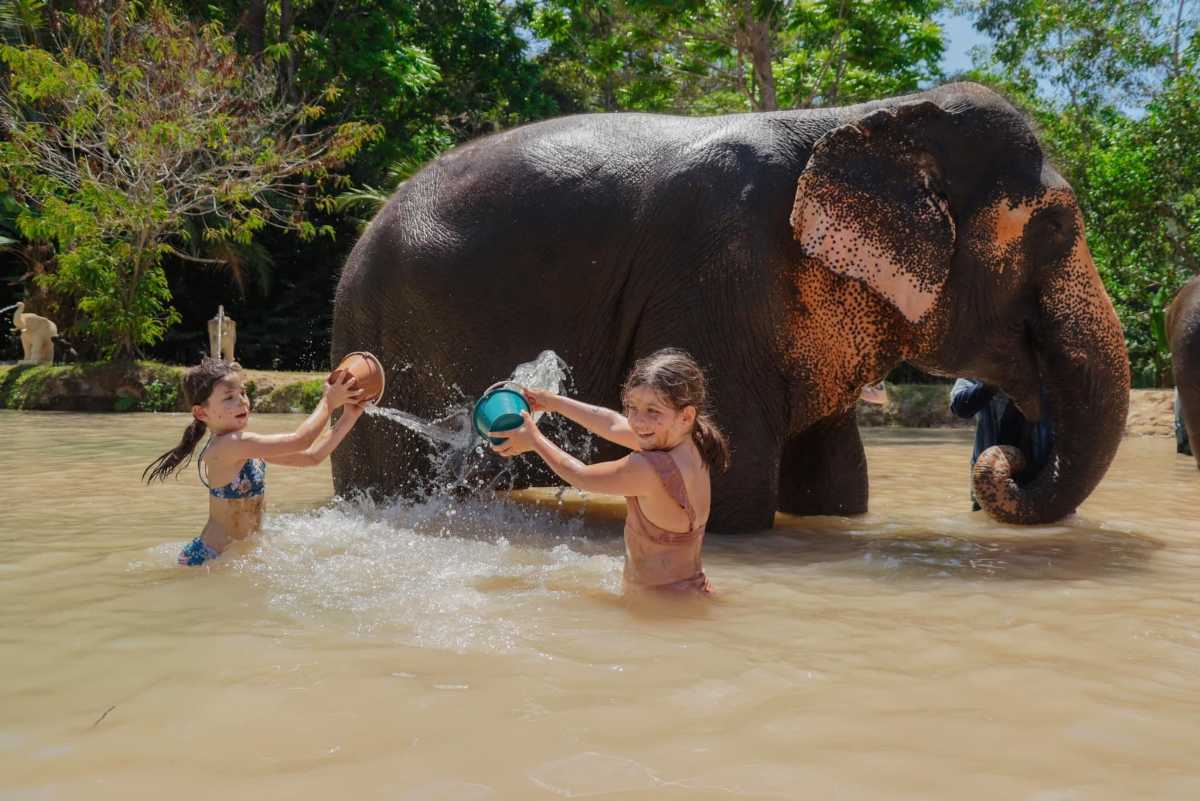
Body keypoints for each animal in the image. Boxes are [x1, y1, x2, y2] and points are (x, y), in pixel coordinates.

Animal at [331, 81, 1130, 532]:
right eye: (1058, 229)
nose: (1009, 458)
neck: (862, 118)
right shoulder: (716, 270)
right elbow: (734, 490)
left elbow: (837, 484)